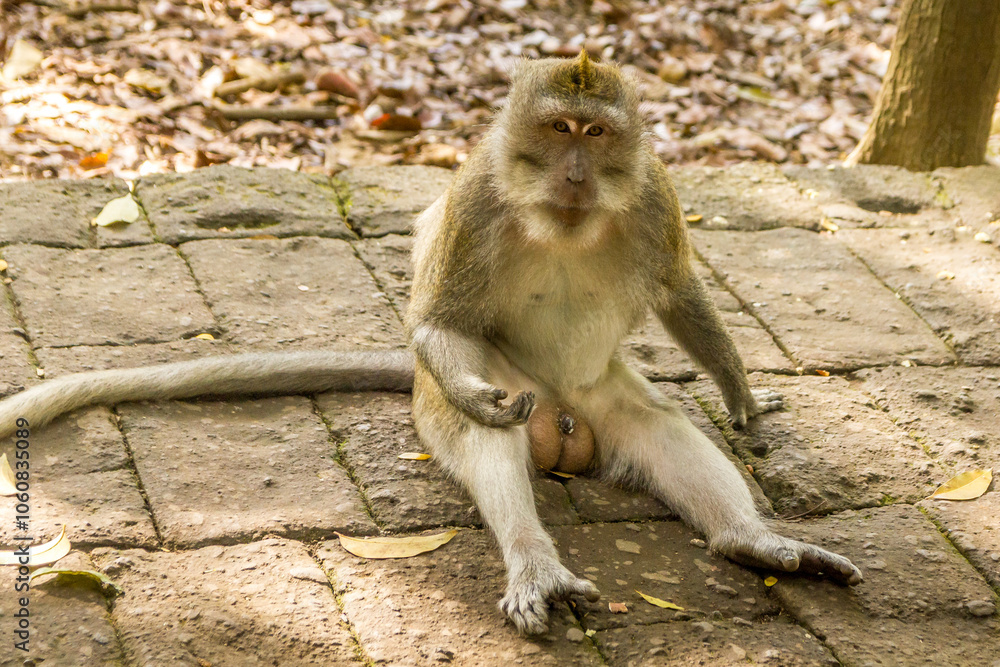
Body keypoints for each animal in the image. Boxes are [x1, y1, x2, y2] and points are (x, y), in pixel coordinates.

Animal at [0, 51, 861, 635]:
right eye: (558, 129)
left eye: (596, 132)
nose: (577, 173)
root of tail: (569, 421)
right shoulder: (479, 200)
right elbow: (442, 325)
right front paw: (479, 394)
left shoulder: (654, 195)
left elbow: (679, 289)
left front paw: (738, 389)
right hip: (466, 392)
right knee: (487, 426)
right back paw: (534, 557)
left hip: (603, 393)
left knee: (659, 428)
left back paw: (756, 543)